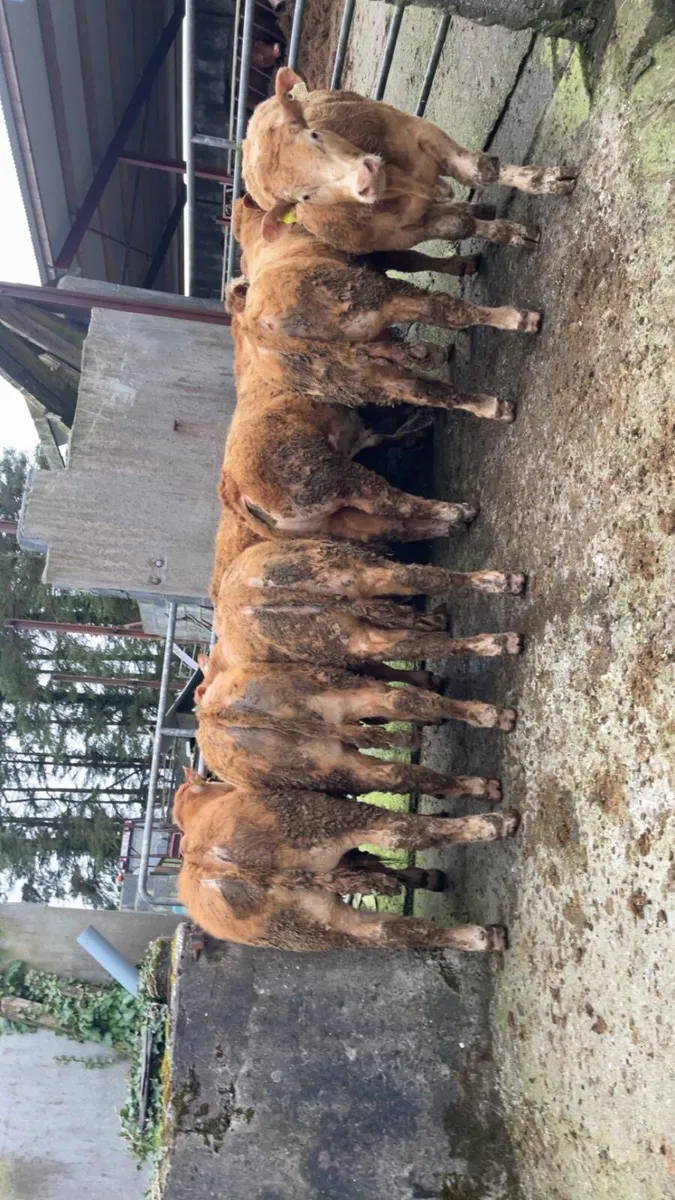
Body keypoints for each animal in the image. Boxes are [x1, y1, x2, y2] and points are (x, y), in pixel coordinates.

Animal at [173, 772, 518, 950]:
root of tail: (209, 862)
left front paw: (425, 878)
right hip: (326, 817)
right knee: (402, 832)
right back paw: (497, 821)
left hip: (309, 925)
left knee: (389, 932)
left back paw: (482, 938)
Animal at [242, 68, 577, 251]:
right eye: (304, 197)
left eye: (314, 134)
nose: (365, 178)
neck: (400, 184)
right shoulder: (403, 235)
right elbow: (459, 226)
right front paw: (511, 234)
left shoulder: (418, 131)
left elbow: (481, 171)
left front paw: (547, 180)